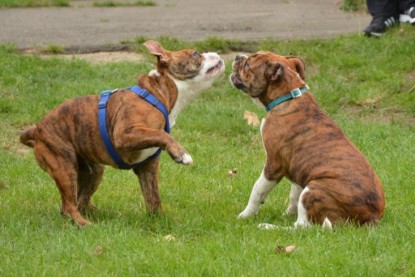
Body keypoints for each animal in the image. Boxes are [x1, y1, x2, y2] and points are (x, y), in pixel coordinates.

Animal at [229, 51, 386, 229]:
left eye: (248, 64)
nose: (238, 56)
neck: (288, 95)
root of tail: (372, 216)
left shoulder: (274, 165)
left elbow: (257, 190)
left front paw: (245, 215)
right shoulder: (299, 170)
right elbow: (293, 195)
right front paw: (288, 214)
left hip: (313, 189)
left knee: (302, 227)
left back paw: (268, 227)